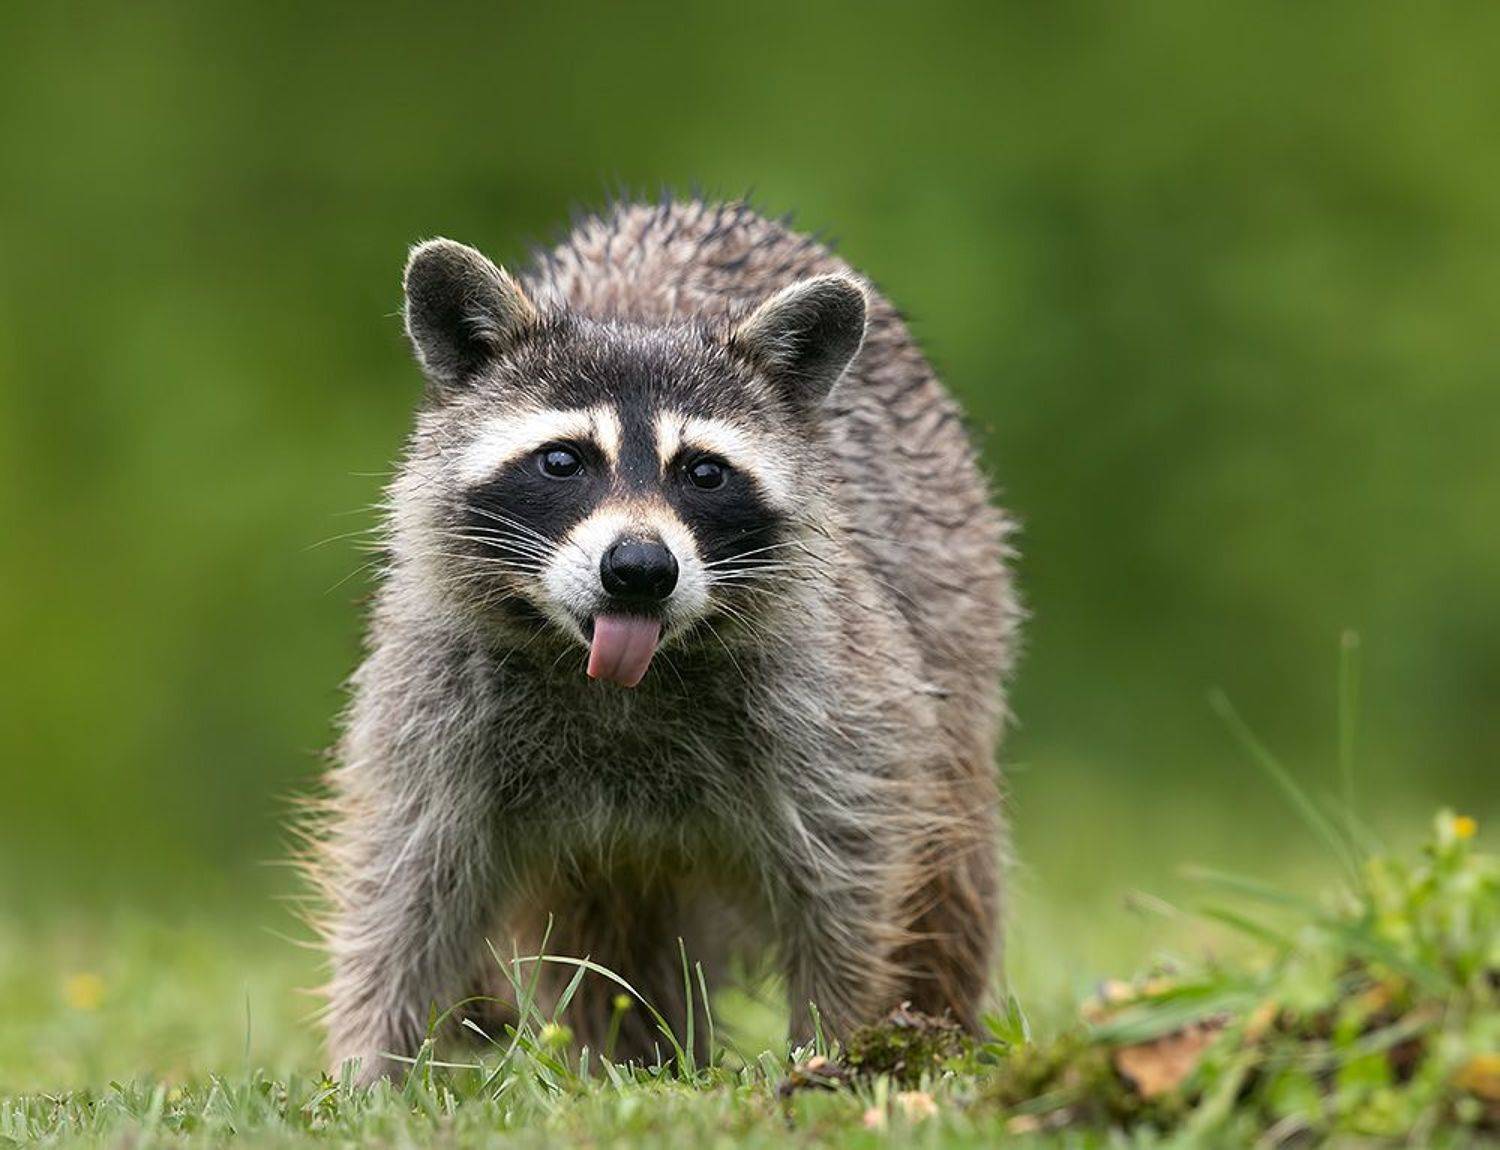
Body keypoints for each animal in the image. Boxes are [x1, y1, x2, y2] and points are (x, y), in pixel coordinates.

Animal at [314, 200, 1019, 1081]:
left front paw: (842, 1047)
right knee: (603, 941)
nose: (640, 569)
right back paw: (631, 1060)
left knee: (951, 863)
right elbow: (405, 882)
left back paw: (938, 1022)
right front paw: (368, 1068)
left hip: (954, 593)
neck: (626, 680)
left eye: (704, 472)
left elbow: (856, 878)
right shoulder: (435, 694)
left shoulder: (836, 696)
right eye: (562, 460)